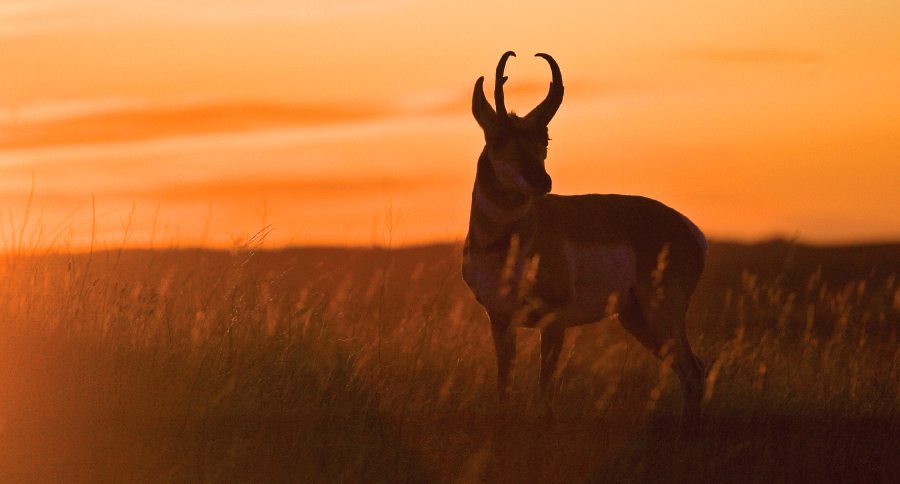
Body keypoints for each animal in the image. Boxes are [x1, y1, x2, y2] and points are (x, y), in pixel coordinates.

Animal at [464, 51, 712, 418]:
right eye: (497, 138)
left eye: (545, 139)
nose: (542, 181)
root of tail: (689, 229)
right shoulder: (499, 320)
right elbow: (503, 388)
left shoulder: (553, 321)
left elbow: (545, 390)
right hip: (635, 318)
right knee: (691, 371)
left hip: (660, 314)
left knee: (694, 371)